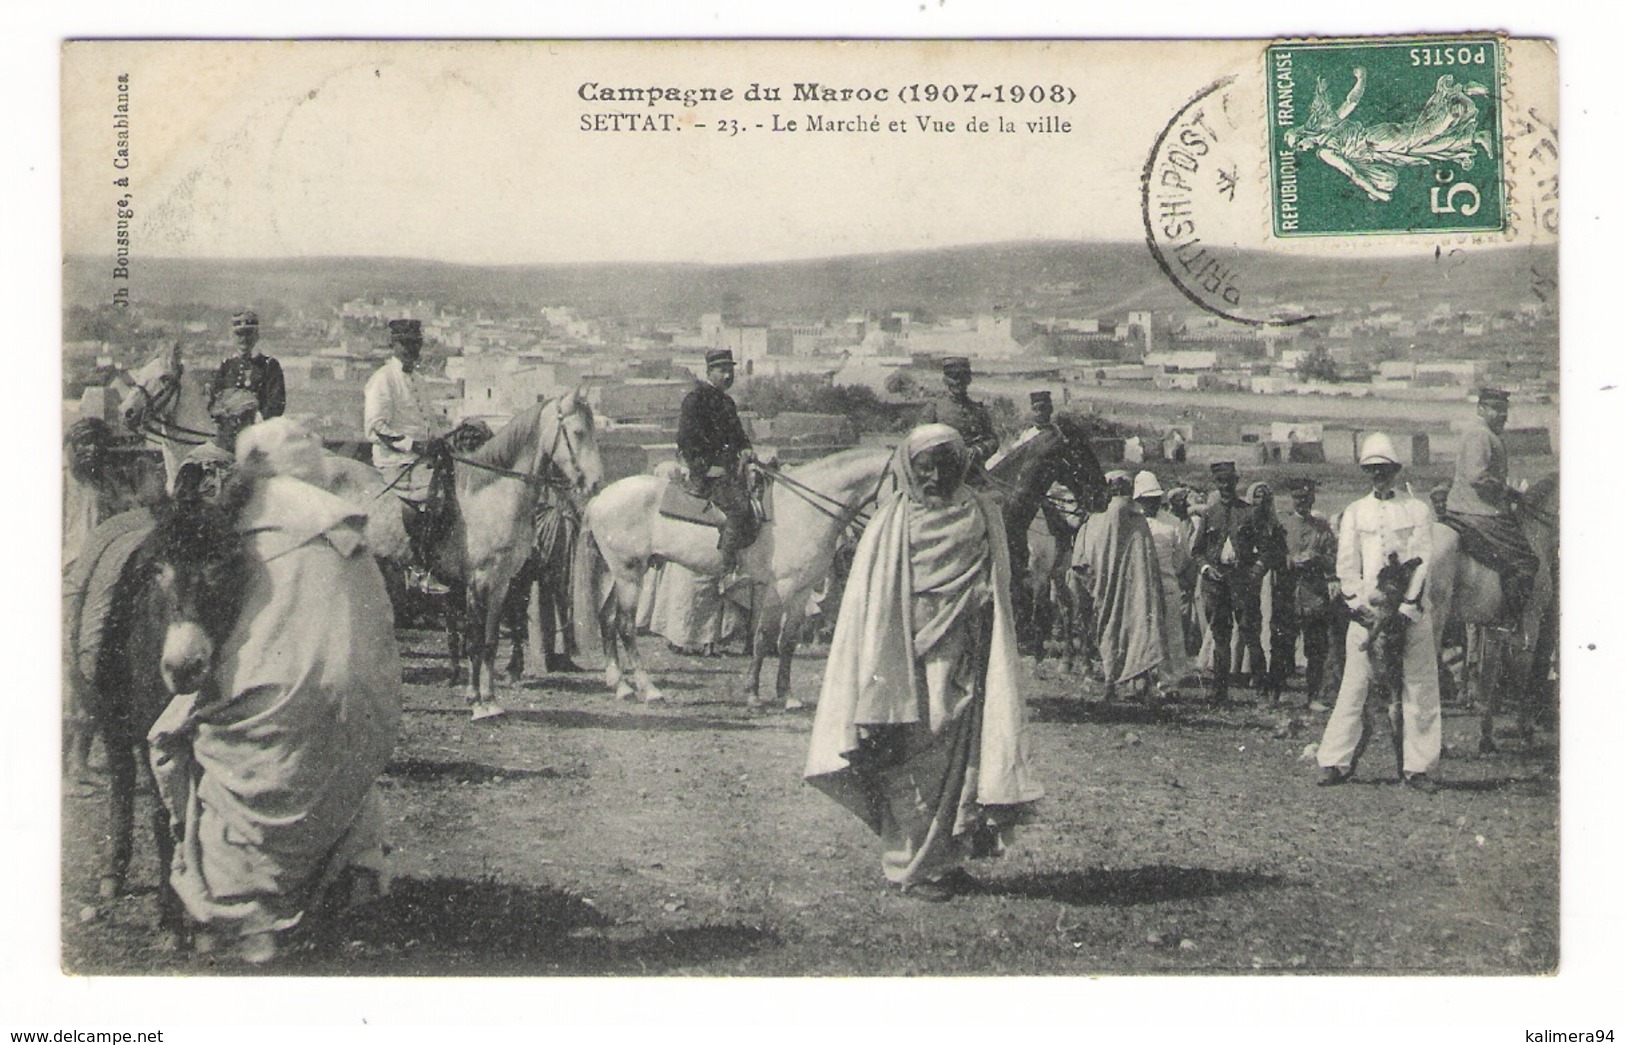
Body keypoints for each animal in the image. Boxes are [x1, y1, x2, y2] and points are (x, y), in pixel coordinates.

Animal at [572, 445, 897, 708]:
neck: (802, 509)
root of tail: (599, 498)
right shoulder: (780, 587)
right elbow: (764, 637)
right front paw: (753, 693)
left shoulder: (801, 590)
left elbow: (788, 641)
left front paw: (787, 695)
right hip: (629, 575)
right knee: (625, 627)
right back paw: (649, 690)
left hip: (616, 574)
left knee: (607, 619)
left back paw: (620, 686)